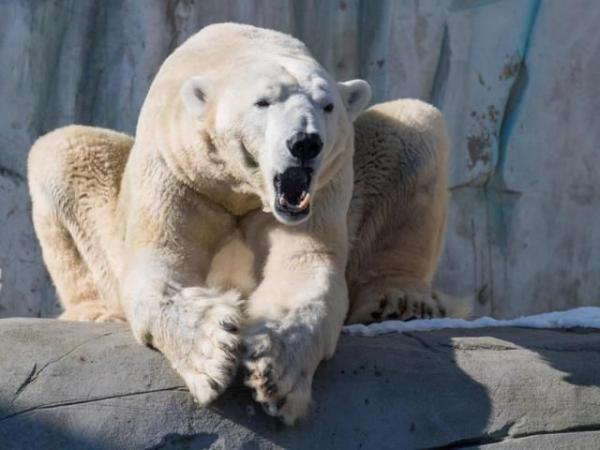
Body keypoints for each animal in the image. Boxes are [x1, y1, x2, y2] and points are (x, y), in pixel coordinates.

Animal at [27, 23, 460, 426]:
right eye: (263, 102)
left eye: (327, 105)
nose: (305, 142)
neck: (242, 184)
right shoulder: (179, 168)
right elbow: (162, 263)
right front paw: (211, 351)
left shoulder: (325, 185)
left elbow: (305, 265)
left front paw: (275, 371)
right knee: (63, 149)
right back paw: (97, 312)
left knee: (414, 126)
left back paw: (400, 302)